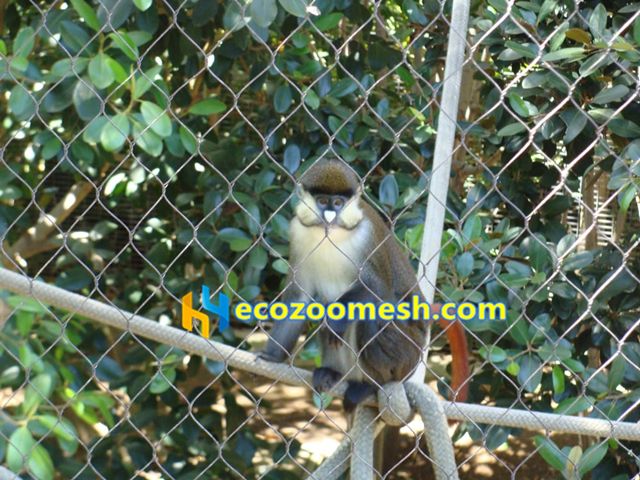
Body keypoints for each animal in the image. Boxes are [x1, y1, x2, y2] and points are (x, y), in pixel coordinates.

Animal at [258, 158, 469, 409]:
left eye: (338, 203)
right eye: (322, 201)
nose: (330, 215)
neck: (330, 234)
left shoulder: (367, 236)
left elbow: (379, 291)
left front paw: (336, 318)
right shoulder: (298, 233)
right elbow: (298, 300)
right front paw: (271, 356)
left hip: (408, 354)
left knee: (368, 317)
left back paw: (371, 385)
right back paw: (332, 373)